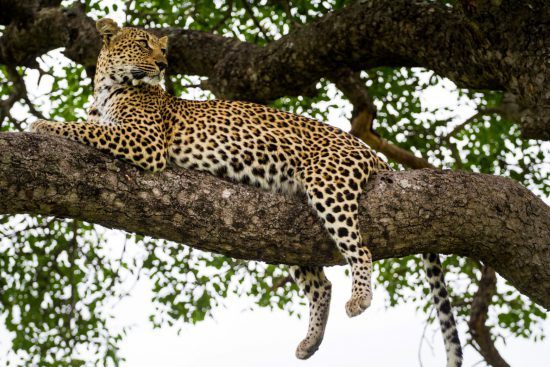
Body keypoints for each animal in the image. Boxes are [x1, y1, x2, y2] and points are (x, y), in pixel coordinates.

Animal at [29, 18, 462, 367]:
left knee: (361, 249)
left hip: (328, 184)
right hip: (288, 233)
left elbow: (85, 129)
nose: (164, 66)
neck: (108, 88)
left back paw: (359, 299)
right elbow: (89, 126)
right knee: (320, 283)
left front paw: (42, 124)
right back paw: (310, 342)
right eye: (142, 45)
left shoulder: (145, 142)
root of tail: (368, 149)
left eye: (163, 49)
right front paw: (46, 123)